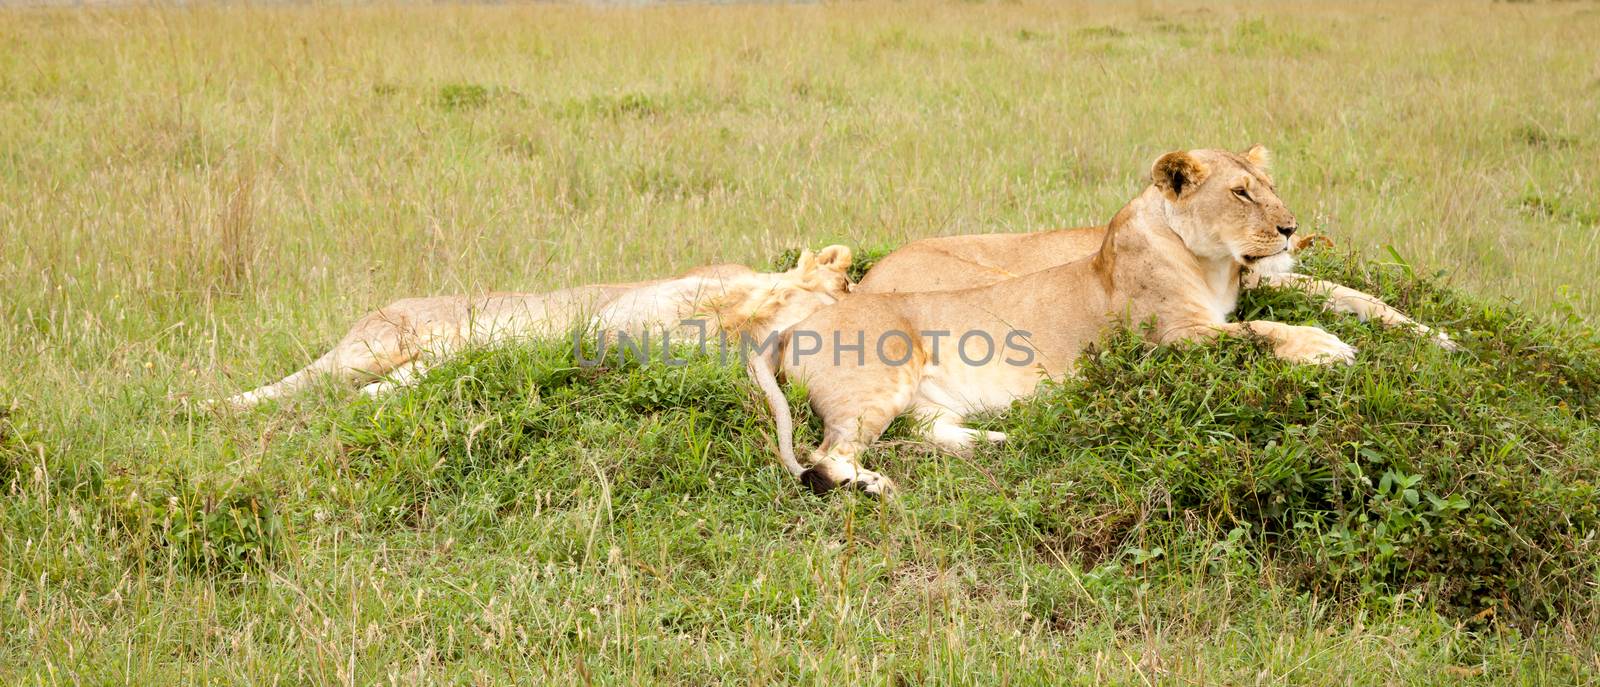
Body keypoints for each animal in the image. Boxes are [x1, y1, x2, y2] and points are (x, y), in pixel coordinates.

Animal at [742, 147, 1459, 496]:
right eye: (1240, 192)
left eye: (1270, 188)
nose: (1289, 229)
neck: (1214, 264)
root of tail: (797, 324)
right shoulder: (1177, 339)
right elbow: (1264, 334)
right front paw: (1325, 347)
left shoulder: (1251, 295)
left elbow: (1353, 298)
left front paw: (1437, 337)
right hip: (882, 376)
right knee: (825, 455)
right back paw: (871, 484)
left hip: (920, 396)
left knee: (923, 430)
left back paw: (1011, 436)